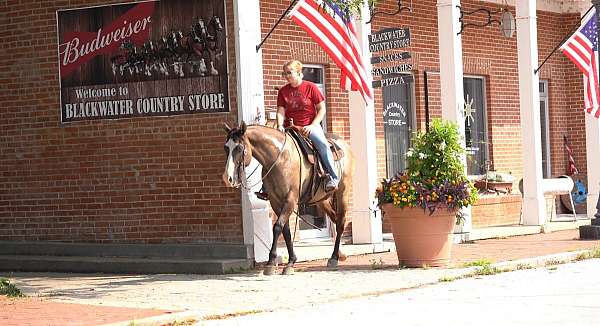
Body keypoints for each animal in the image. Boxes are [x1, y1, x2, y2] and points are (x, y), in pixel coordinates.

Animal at [221, 122, 354, 276]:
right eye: (226, 147)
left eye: (239, 148)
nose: (227, 178)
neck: (279, 159)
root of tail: (344, 145)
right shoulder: (275, 201)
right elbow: (286, 231)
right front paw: (290, 261)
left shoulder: (290, 200)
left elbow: (278, 227)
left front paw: (271, 262)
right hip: (321, 199)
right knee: (334, 218)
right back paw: (340, 254)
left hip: (342, 193)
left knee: (340, 223)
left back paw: (334, 258)